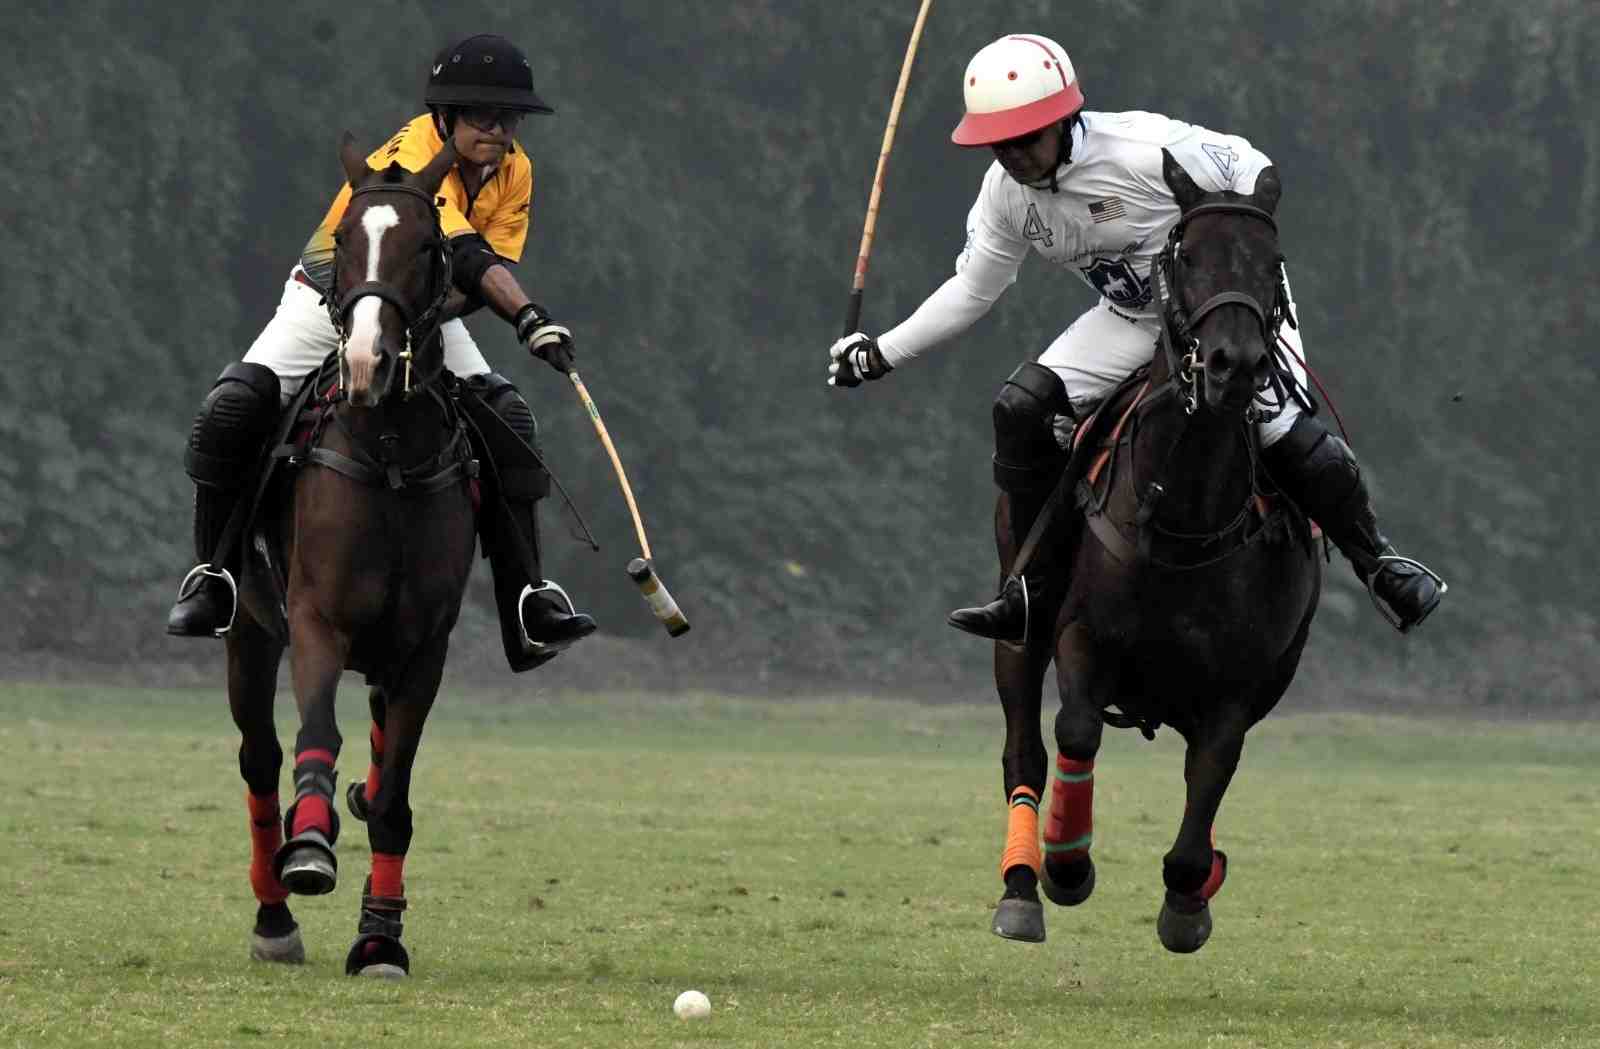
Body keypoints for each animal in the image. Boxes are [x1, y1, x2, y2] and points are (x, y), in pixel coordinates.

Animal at [228, 137, 473, 972]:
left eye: (426, 245)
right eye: (342, 237)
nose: (367, 362)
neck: (389, 450)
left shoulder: (426, 647)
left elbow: (395, 793)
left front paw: (379, 937)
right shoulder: (315, 619)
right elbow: (315, 736)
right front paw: (309, 843)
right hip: (248, 628)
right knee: (259, 758)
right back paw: (273, 916)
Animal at [985, 153, 1324, 953]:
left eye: (1272, 262)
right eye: (1188, 256)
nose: (1236, 365)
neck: (1184, 516)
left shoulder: (1241, 685)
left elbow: (1211, 776)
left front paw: (1190, 892)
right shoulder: (1083, 636)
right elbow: (1074, 729)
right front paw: (1067, 863)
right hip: (1019, 626)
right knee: (1024, 748)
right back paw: (1021, 885)